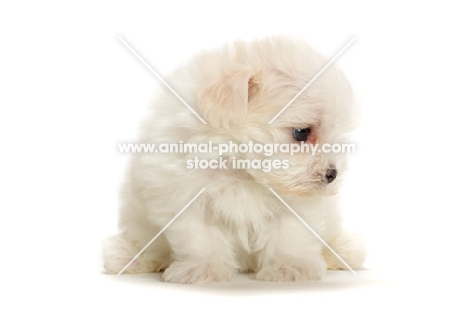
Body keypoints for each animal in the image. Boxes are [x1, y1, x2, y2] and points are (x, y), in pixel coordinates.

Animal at [102, 36, 366, 282]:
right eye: (301, 133)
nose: (332, 174)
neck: (241, 170)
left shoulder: (297, 207)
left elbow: (290, 236)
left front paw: (289, 267)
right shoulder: (186, 197)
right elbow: (200, 238)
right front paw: (203, 269)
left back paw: (344, 250)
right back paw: (128, 256)